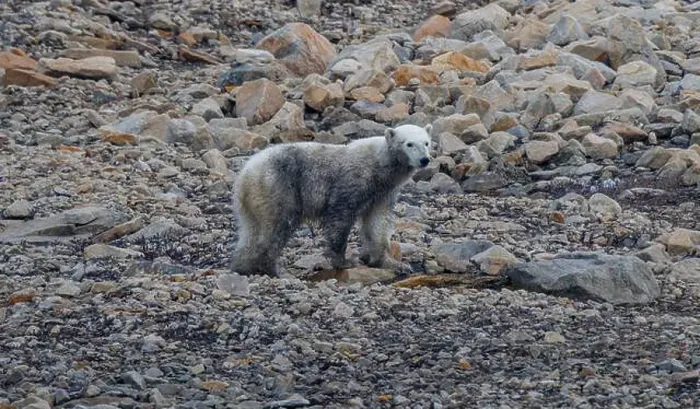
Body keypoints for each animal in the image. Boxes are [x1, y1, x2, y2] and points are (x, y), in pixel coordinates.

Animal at [230, 123, 433, 277]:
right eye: (409, 144)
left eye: (427, 142)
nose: (424, 159)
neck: (380, 165)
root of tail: (245, 174)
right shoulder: (352, 181)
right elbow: (340, 216)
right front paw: (344, 261)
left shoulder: (383, 192)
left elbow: (377, 222)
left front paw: (392, 263)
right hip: (278, 187)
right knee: (278, 226)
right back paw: (275, 269)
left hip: (252, 201)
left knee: (250, 230)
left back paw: (243, 266)